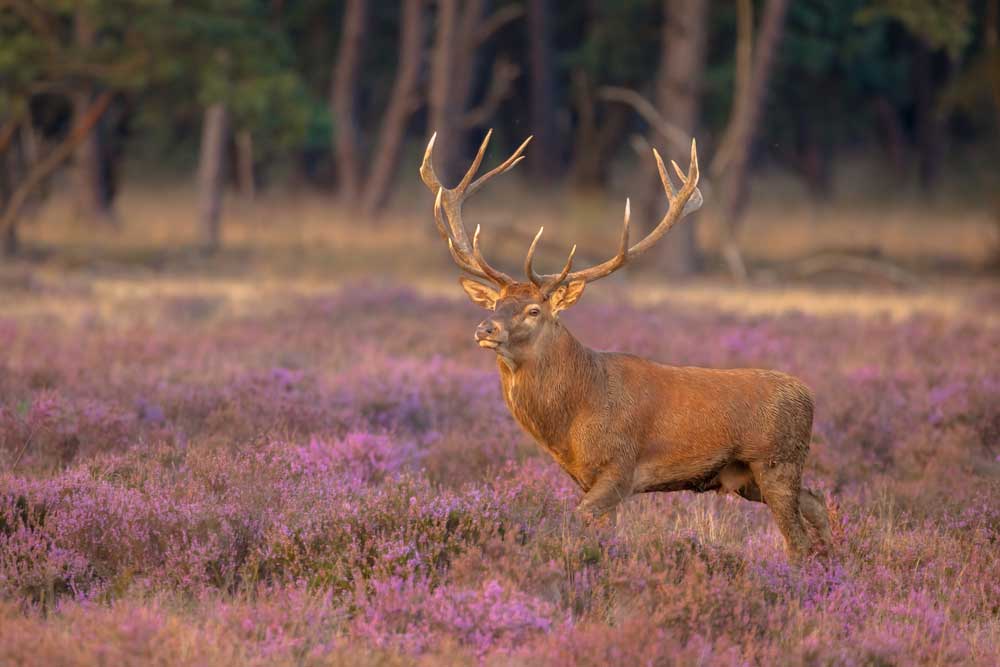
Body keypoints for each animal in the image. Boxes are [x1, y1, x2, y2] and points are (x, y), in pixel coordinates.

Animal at [418, 132, 832, 564]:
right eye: (495, 304)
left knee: (797, 539)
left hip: (776, 461)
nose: (485, 328)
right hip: (748, 478)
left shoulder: (620, 467)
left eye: (533, 310)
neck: (574, 419)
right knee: (818, 503)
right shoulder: (585, 477)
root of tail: (808, 395)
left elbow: (572, 520)